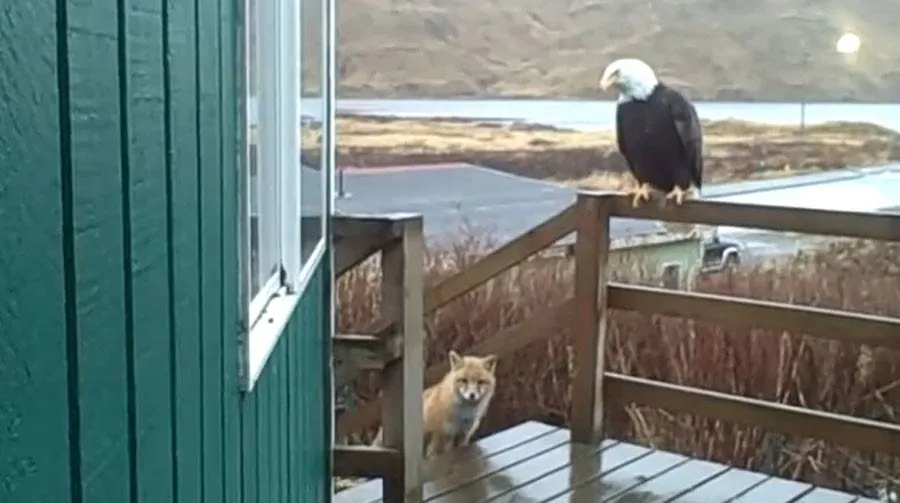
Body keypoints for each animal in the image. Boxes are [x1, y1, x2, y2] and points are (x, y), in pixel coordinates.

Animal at [372, 352, 500, 458]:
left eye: (480, 382)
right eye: (464, 380)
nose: (472, 395)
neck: (462, 414)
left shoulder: (463, 435)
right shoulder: (440, 433)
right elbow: (435, 454)